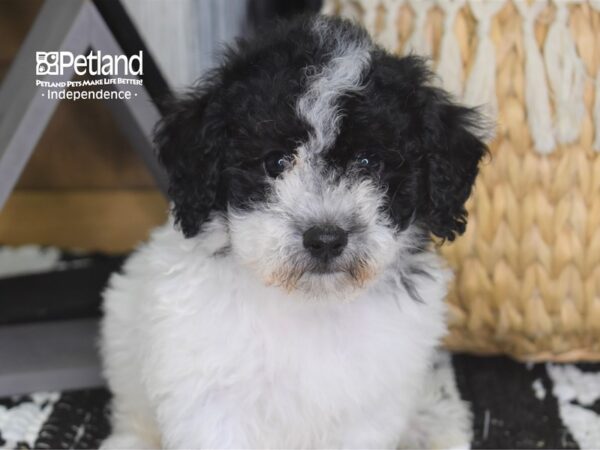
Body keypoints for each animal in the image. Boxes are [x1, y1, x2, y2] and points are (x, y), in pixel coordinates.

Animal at [102, 14, 488, 450]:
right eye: (275, 162)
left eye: (369, 162)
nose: (325, 239)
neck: (307, 303)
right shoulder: (212, 400)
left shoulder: (368, 411)